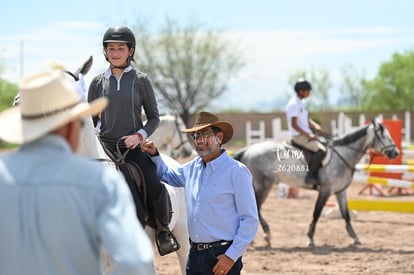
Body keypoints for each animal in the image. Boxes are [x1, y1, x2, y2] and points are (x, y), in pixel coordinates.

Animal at [233, 119, 398, 249]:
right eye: (383, 136)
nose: (395, 153)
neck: (343, 156)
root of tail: (248, 149)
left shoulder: (340, 191)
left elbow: (346, 214)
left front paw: (355, 238)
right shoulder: (326, 190)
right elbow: (316, 213)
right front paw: (311, 239)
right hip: (263, 185)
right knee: (255, 208)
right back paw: (266, 235)